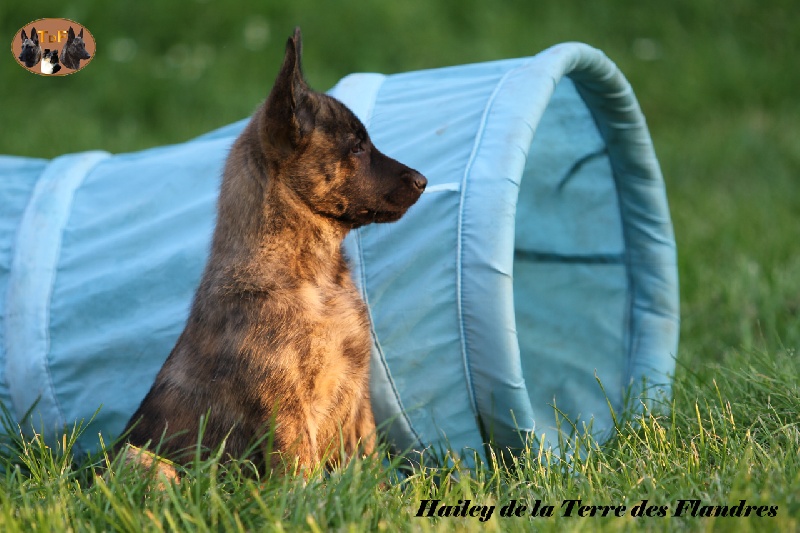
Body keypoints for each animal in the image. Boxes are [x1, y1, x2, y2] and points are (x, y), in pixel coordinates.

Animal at [121, 28, 426, 479]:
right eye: (356, 148)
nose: (423, 180)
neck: (315, 275)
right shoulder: (284, 400)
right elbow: (302, 471)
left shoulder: (357, 396)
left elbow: (368, 463)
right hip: (142, 459)